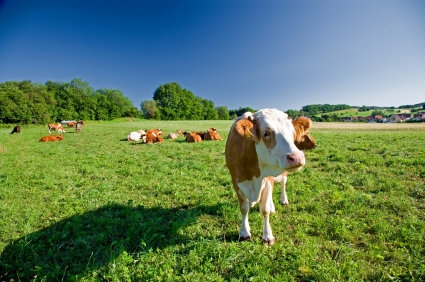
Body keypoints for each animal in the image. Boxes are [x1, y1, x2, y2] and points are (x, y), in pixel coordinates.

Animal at [222, 108, 308, 245]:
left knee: (283, 183)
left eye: (293, 132)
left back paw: (283, 200)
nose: (297, 157)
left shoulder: (267, 180)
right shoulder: (236, 181)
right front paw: (244, 233)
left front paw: (268, 236)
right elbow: (244, 208)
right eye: (266, 133)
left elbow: (265, 210)